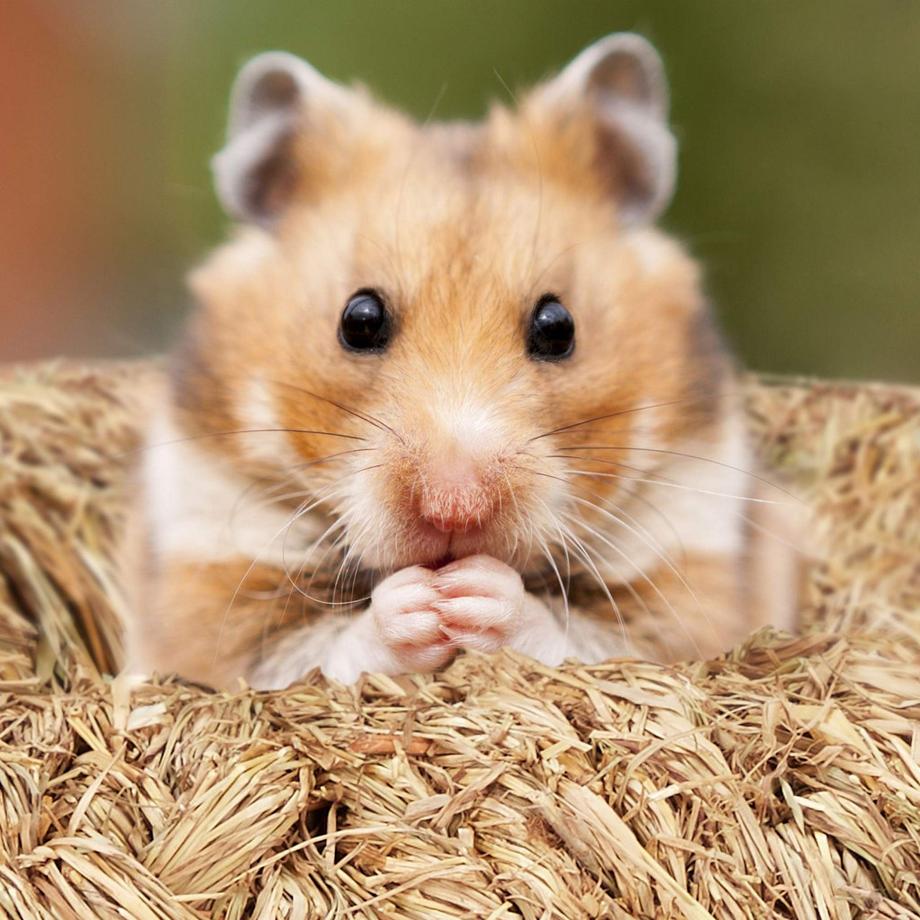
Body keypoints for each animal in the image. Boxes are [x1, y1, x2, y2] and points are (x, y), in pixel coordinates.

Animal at [126, 33, 799, 690]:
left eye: (559, 327)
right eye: (358, 319)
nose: (455, 508)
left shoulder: (693, 574)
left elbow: (592, 637)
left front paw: (474, 595)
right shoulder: (208, 575)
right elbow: (306, 651)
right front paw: (422, 604)